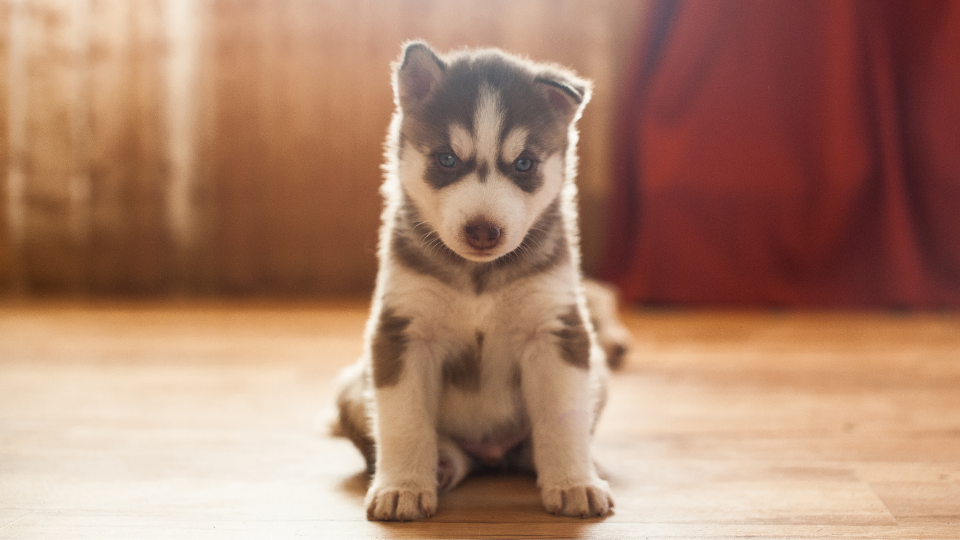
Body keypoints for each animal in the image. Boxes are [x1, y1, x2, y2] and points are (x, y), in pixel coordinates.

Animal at [332, 40, 632, 520]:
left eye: (524, 163)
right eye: (446, 159)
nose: (483, 231)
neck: (479, 279)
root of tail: (490, 454)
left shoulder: (556, 329)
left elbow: (563, 418)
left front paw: (574, 482)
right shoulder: (402, 331)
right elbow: (404, 421)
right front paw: (402, 488)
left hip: (597, 372)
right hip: (352, 387)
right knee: (440, 449)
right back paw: (441, 465)